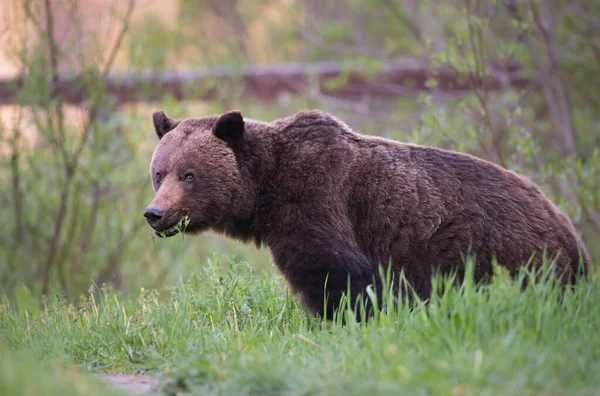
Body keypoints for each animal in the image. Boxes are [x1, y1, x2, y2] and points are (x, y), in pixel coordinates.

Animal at [146, 108, 592, 318]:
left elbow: (336, 271)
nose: (155, 213)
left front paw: (341, 317)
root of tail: (572, 233)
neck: (265, 191)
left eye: (189, 174)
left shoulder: (317, 198)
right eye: (159, 173)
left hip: (500, 251)